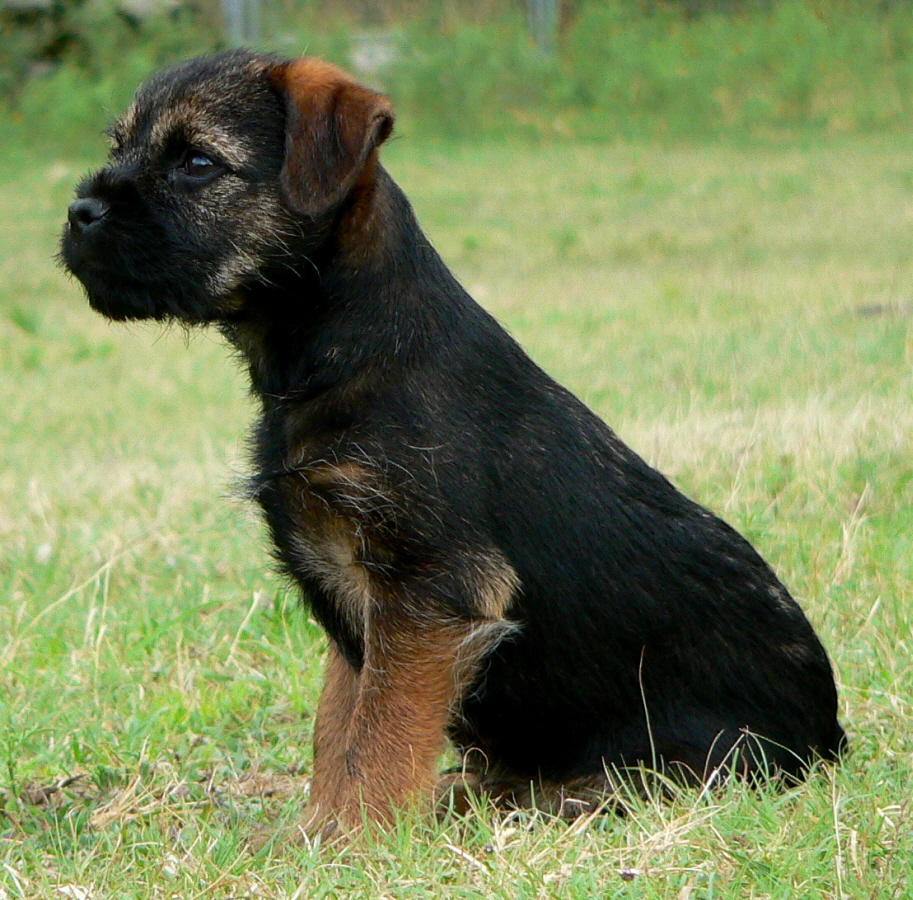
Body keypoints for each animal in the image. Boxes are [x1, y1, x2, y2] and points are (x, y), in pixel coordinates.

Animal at [62, 49, 848, 836]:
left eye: (196, 162)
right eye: (119, 146)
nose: (79, 211)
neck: (345, 348)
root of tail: (829, 744)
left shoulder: (433, 593)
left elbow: (379, 738)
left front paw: (358, 839)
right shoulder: (362, 611)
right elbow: (341, 725)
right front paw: (320, 830)